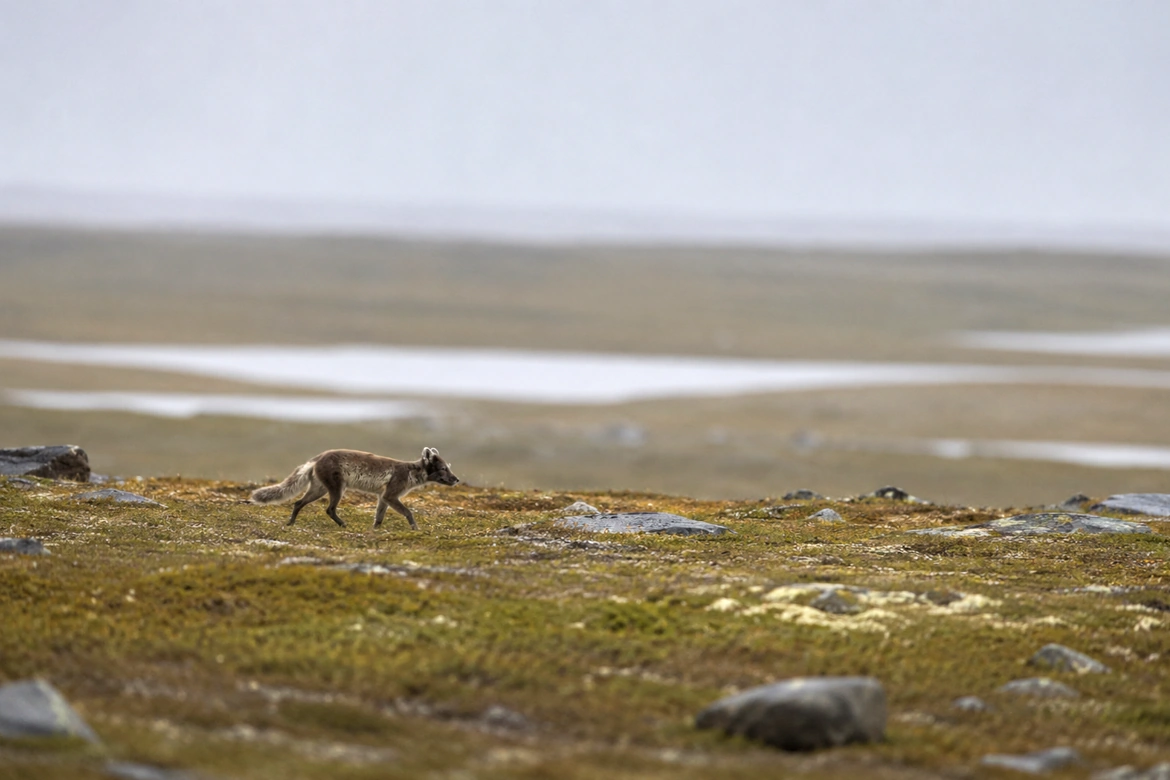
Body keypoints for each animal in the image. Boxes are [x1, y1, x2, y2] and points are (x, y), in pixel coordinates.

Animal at [250, 447, 459, 529]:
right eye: (443, 468)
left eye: (449, 467)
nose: (456, 480)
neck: (411, 472)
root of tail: (318, 457)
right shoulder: (391, 495)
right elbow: (409, 512)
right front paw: (415, 528)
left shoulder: (383, 497)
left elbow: (379, 517)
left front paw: (374, 531)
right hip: (337, 489)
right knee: (329, 509)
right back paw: (343, 525)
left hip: (318, 489)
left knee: (297, 503)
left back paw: (290, 523)